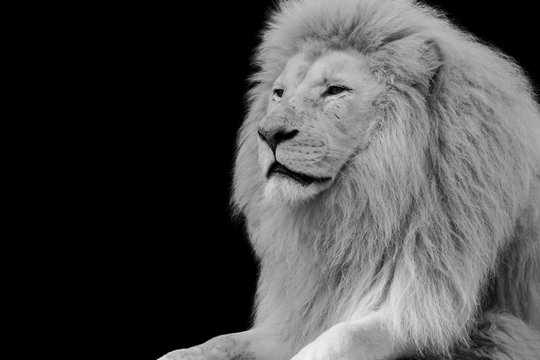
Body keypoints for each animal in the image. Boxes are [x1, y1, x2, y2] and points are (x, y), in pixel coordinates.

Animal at [160, 0, 540, 358]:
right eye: (279, 93)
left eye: (335, 90)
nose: (267, 134)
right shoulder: (300, 313)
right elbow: (223, 341)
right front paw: (179, 353)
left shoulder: (442, 312)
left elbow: (343, 338)